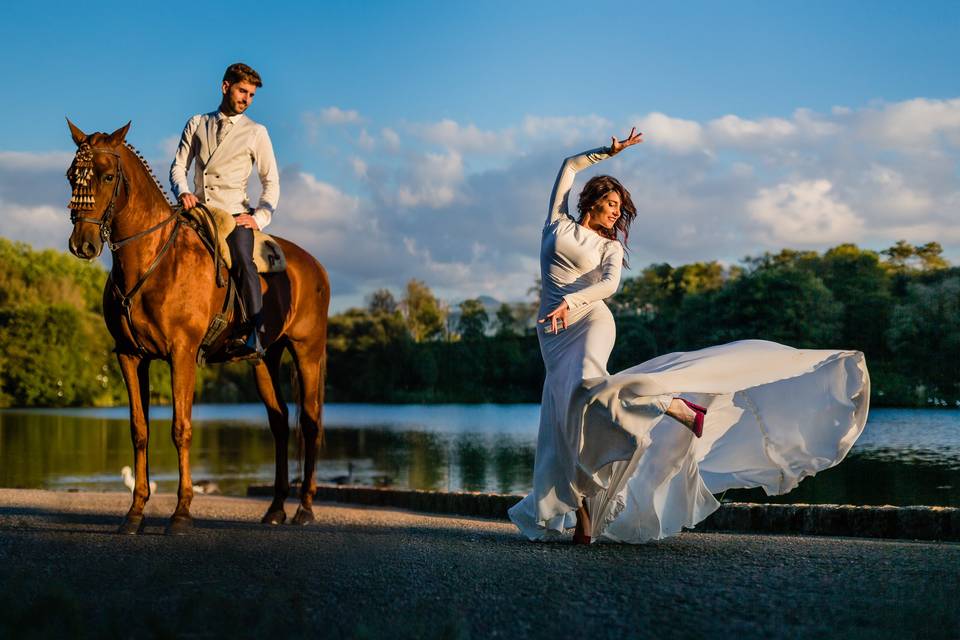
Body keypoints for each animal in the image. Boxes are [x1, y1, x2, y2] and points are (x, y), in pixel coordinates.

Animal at [64, 120, 330, 536]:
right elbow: (139, 430)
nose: (83, 244)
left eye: (107, 176)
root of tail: (314, 265)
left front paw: (182, 512)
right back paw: (274, 508)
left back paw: (304, 508)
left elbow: (181, 427)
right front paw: (135, 512)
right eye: (71, 176)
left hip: (308, 352)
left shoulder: (182, 354)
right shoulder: (130, 356)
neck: (152, 259)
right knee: (280, 422)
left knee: (311, 422)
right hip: (264, 360)